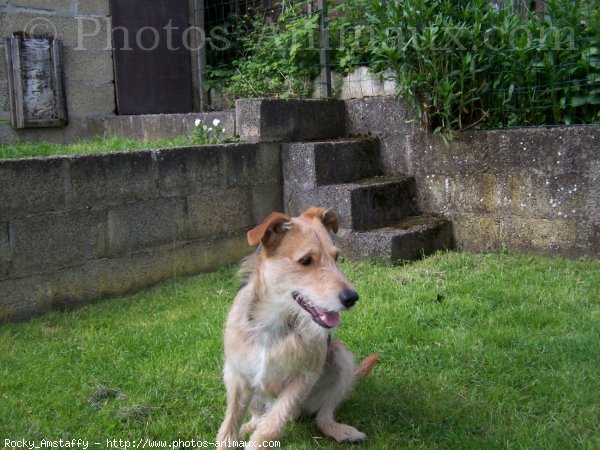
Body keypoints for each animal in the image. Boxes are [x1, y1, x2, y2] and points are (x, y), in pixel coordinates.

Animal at [217, 207, 380, 446]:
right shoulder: (237, 374)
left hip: (340, 358)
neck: (273, 321)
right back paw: (250, 424)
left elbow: (270, 427)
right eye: (305, 260)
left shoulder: (304, 378)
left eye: (336, 257)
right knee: (257, 416)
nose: (352, 298)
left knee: (322, 416)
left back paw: (341, 430)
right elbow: (229, 426)